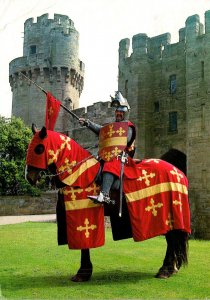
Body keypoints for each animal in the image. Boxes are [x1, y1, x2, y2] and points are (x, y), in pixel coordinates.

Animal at [25, 125, 191, 282]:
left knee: (171, 239)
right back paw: (171, 268)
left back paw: (165, 269)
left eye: (38, 148)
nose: (29, 177)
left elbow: (84, 245)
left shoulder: (82, 214)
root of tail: (178, 172)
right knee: (173, 240)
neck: (80, 172)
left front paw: (83, 273)